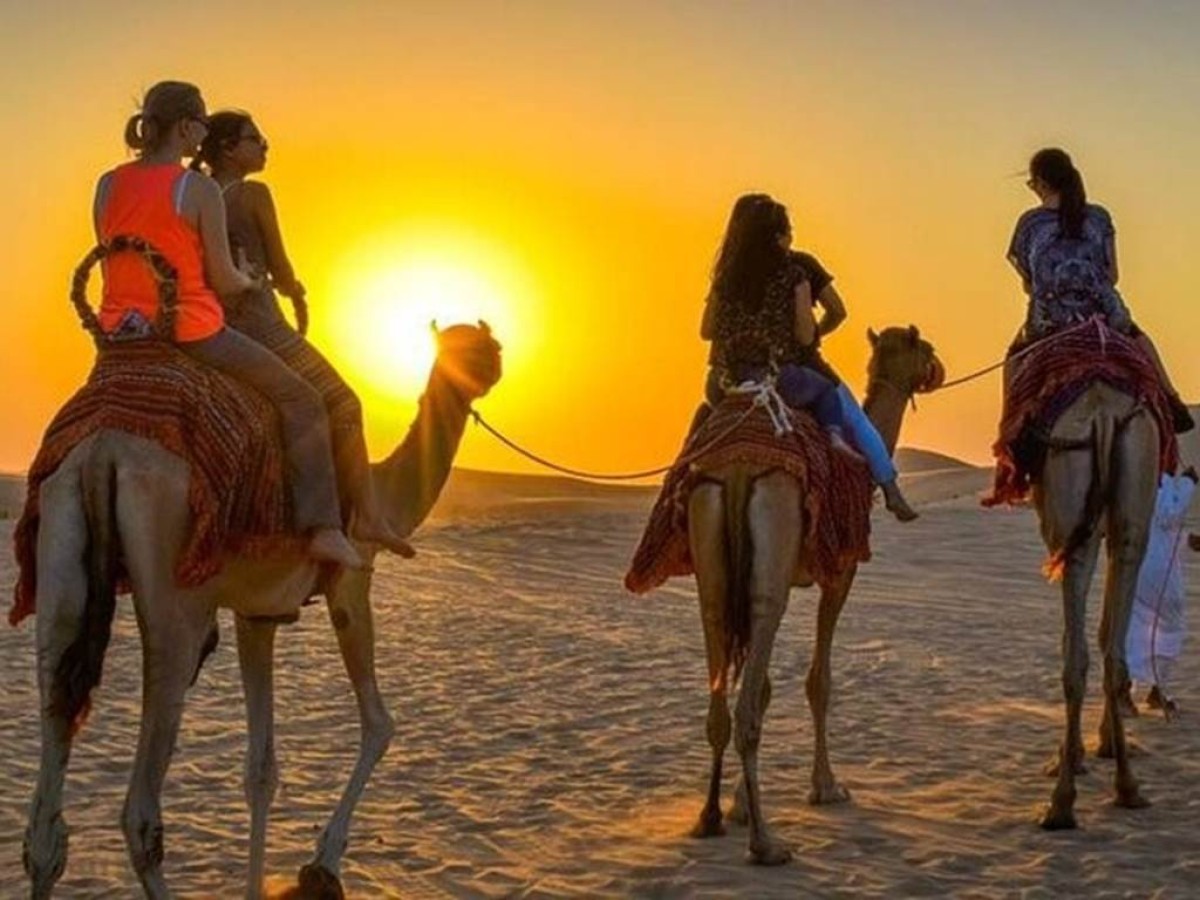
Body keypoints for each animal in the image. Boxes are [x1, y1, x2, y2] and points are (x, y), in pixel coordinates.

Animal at [23, 322, 501, 899]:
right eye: (482, 349)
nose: (489, 371)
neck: (386, 495)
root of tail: (102, 450)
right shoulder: (351, 581)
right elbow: (378, 724)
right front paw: (322, 864)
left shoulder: (257, 616)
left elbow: (260, 770)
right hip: (174, 595)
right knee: (140, 814)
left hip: (60, 545)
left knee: (46, 818)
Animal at [687, 325, 943, 864]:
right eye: (925, 349)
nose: (939, 369)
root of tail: (738, 469)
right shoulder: (838, 573)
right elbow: (817, 682)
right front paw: (826, 787)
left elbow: (766, 687)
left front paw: (739, 806)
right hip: (773, 558)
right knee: (749, 700)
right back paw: (766, 843)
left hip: (715, 566)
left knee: (721, 679)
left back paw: (711, 817)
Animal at [1032, 381, 1158, 830]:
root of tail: (1102, 414)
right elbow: (1108, 631)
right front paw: (1104, 744)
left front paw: (1077, 754)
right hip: (1132, 517)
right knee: (1111, 652)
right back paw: (1127, 787)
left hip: (1075, 526)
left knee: (1076, 655)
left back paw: (1060, 802)